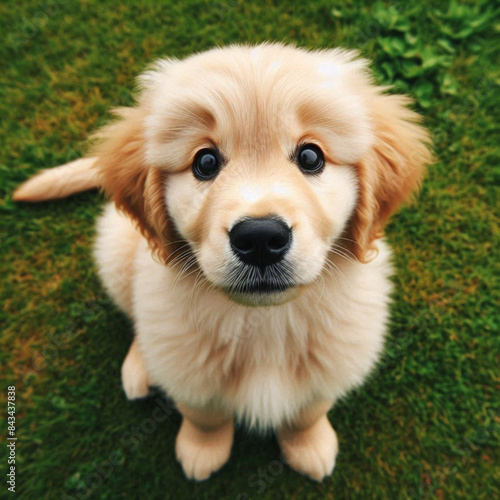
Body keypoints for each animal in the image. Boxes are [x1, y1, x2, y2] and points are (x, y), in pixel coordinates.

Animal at [13, 43, 432, 480]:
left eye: (310, 156)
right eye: (206, 162)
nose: (261, 239)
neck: (265, 323)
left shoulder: (333, 362)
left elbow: (308, 412)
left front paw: (309, 447)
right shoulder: (191, 373)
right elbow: (205, 416)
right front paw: (202, 451)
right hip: (116, 250)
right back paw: (139, 367)